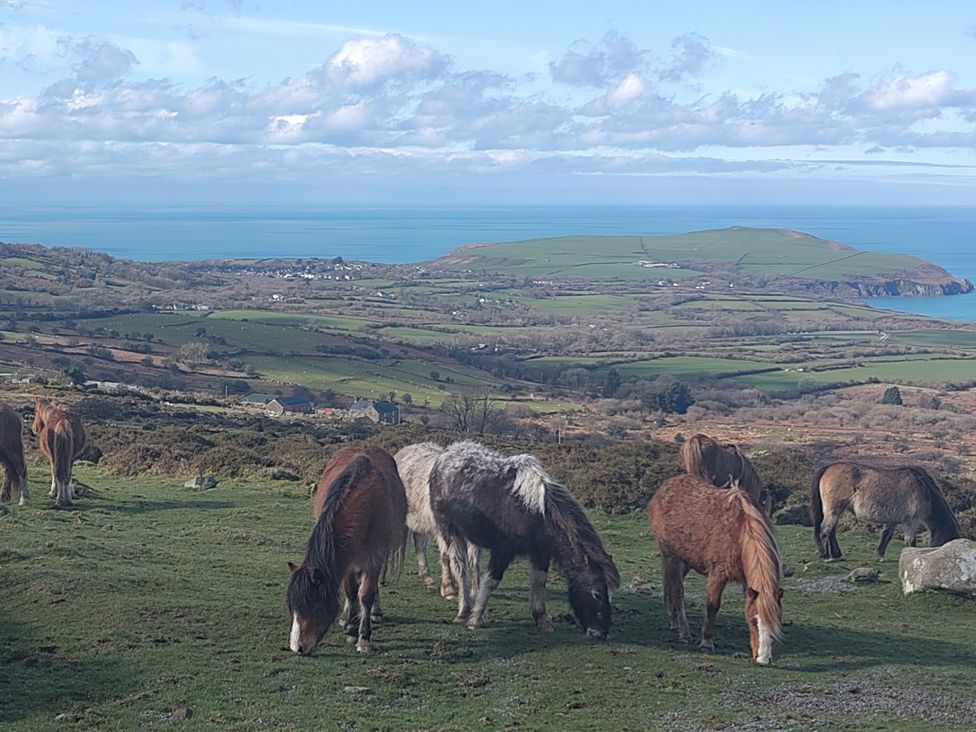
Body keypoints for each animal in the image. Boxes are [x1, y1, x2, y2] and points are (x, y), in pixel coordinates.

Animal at [286, 446, 406, 655]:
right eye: (293, 607)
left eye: (314, 606)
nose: (298, 648)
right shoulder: (346, 560)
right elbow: (350, 591)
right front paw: (351, 627)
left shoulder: (374, 558)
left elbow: (366, 595)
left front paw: (364, 638)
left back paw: (375, 612)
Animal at [394, 441, 480, 599]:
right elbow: (446, 556)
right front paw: (448, 589)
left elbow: (473, 562)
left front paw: (474, 592)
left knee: (419, 544)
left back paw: (427, 579)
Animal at [429, 440, 620, 638]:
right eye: (597, 593)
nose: (600, 633)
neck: (535, 513)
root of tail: (446, 454)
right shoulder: (503, 551)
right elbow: (491, 582)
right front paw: (474, 620)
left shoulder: (541, 554)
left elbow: (539, 582)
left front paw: (542, 620)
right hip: (450, 532)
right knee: (460, 569)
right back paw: (464, 610)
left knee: (473, 567)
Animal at [648, 474, 783, 665]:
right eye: (753, 621)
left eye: (776, 623)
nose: (763, 659)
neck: (740, 532)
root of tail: (665, 486)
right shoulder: (718, 575)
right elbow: (712, 606)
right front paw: (707, 642)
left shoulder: (747, 581)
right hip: (671, 556)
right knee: (677, 591)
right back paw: (684, 632)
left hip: (685, 560)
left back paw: (673, 620)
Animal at [810, 462, 961, 562]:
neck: (924, 488)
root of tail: (827, 468)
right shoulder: (911, 521)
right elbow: (910, 541)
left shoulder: (892, 521)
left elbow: (886, 536)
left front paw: (879, 556)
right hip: (834, 510)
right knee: (825, 530)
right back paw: (825, 556)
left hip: (837, 511)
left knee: (831, 531)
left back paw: (837, 554)